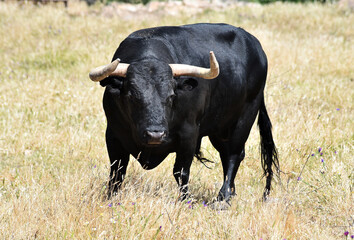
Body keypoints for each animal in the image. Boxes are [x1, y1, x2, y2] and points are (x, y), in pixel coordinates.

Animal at [89, 23, 280, 202]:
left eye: (171, 95)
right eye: (131, 96)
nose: (155, 135)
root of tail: (254, 45)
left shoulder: (189, 134)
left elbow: (180, 171)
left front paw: (185, 200)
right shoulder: (113, 134)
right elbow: (117, 171)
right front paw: (110, 198)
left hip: (245, 117)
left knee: (234, 155)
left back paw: (223, 198)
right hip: (220, 128)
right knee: (226, 155)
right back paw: (230, 194)